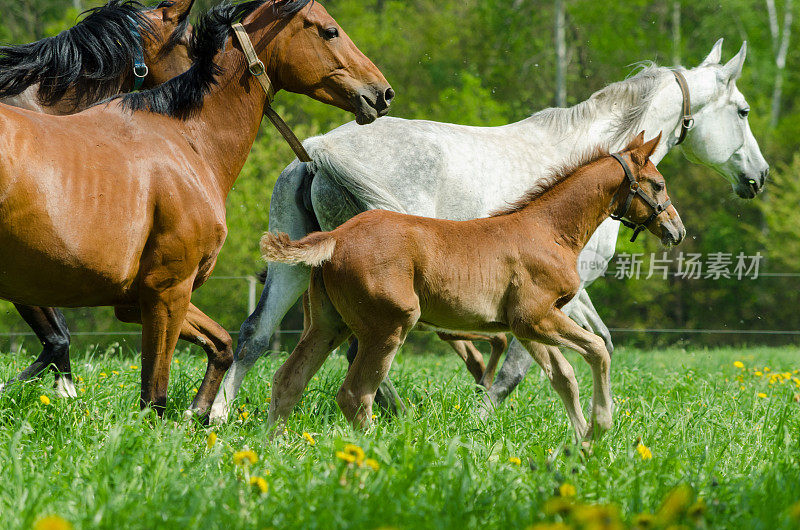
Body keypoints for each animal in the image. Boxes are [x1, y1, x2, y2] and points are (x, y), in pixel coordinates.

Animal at [262, 132, 688, 438]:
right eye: (658, 184)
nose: (677, 229)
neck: (548, 231)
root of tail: (336, 238)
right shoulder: (536, 317)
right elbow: (597, 350)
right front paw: (600, 427)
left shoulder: (525, 327)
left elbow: (563, 377)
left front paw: (582, 443)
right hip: (388, 327)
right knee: (355, 395)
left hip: (328, 325)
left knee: (288, 380)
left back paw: (273, 447)